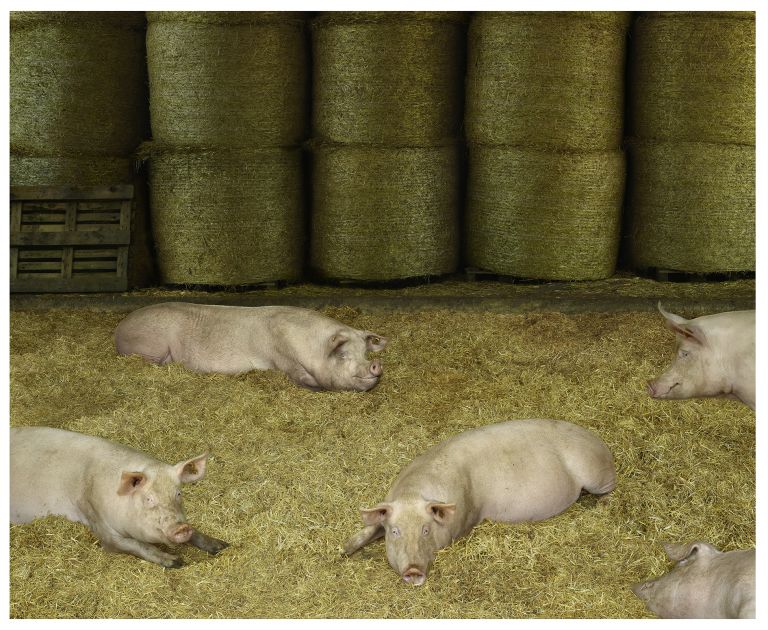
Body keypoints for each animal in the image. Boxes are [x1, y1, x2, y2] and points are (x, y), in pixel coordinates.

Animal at [10, 426, 229, 568]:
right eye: (148, 499)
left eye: (178, 493)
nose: (181, 527)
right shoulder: (98, 522)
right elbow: (136, 544)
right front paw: (176, 561)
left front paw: (222, 545)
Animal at [115, 303, 388, 392]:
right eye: (343, 354)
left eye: (365, 352)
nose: (375, 365)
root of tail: (119, 328)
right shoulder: (283, 359)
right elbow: (303, 380)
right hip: (152, 346)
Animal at [343, 419, 616, 585]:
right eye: (395, 531)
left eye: (426, 530)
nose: (413, 569)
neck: (412, 494)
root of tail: (599, 442)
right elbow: (371, 527)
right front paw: (343, 550)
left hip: (596, 475)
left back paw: (602, 504)